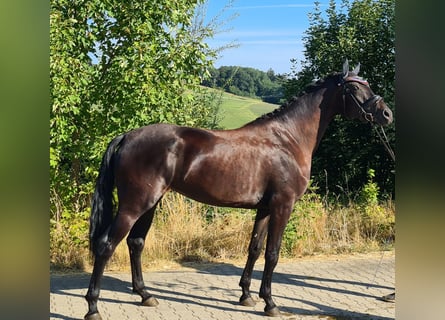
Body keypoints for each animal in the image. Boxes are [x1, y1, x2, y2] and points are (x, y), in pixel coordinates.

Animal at [84, 61, 392, 318]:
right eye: (354, 87)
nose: (386, 114)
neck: (288, 139)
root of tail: (127, 136)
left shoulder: (265, 208)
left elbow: (254, 248)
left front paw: (246, 296)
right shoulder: (283, 205)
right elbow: (272, 253)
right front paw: (271, 303)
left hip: (150, 203)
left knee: (135, 243)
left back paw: (145, 295)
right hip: (134, 205)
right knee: (106, 245)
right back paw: (93, 306)